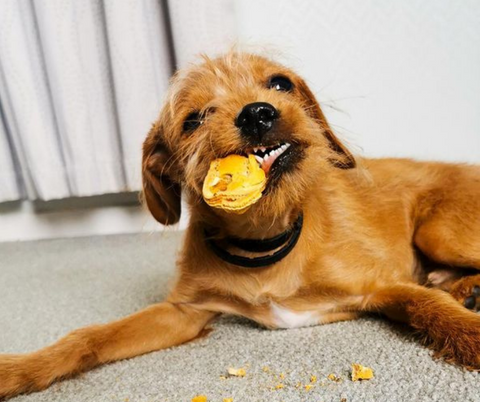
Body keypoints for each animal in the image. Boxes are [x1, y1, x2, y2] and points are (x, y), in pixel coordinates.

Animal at [0, 51, 480, 398]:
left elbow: (429, 308)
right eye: (193, 119)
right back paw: (464, 289)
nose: (257, 113)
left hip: (439, 233)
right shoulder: (183, 312)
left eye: (280, 83)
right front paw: (23, 368)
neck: (264, 239)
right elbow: (89, 336)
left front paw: (468, 332)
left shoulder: (382, 286)